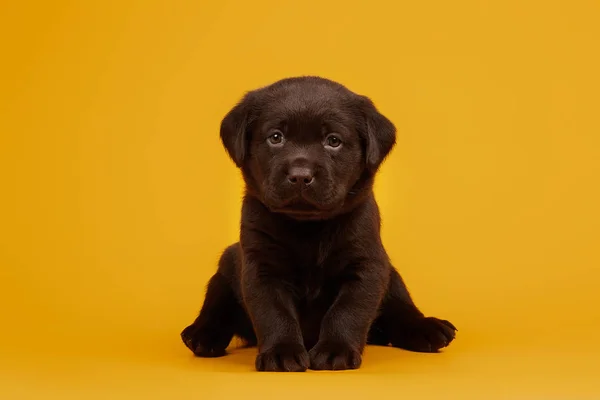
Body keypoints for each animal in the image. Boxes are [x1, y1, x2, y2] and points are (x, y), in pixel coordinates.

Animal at [180, 76, 458, 370]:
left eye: (333, 141)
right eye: (276, 137)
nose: (300, 175)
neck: (308, 228)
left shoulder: (367, 264)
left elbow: (347, 310)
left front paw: (335, 349)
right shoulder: (260, 267)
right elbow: (274, 313)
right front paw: (281, 352)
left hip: (391, 275)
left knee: (401, 307)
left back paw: (426, 328)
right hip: (226, 265)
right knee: (216, 302)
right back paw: (202, 334)